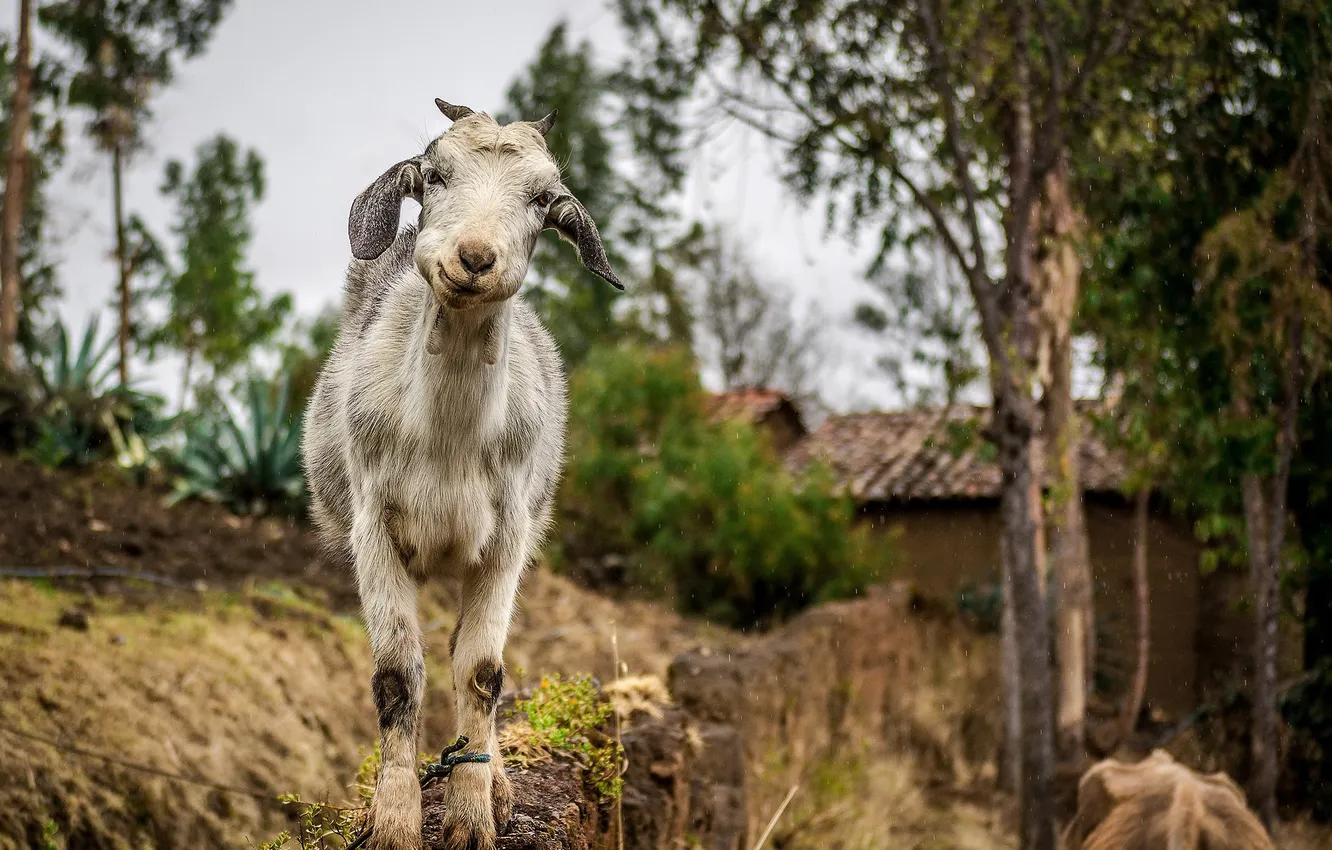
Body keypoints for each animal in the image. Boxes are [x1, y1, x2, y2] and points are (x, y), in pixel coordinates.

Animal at [303, 99, 622, 850]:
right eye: (435, 173)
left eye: (543, 199)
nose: (475, 258)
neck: (447, 438)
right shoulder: (375, 532)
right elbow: (398, 677)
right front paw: (393, 822)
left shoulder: (506, 541)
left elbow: (482, 672)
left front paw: (475, 817)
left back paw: (498, 783)